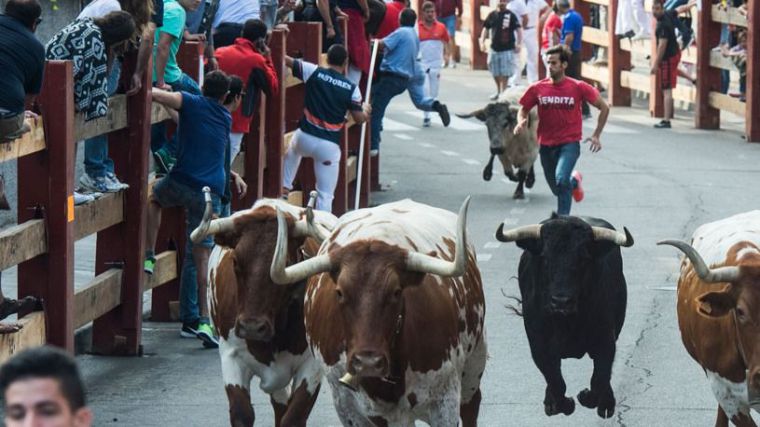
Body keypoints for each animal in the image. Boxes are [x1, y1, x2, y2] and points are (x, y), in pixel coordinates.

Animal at [194, 198, 336, 427]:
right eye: (235, 261)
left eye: (288, 262)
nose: (252, 327)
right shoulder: (230, 356)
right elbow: (242, 413)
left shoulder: (311, 366)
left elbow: (293, 417)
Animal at [272, 199, 486, 426]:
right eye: (339, 292)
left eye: (397, 291)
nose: (368, 363)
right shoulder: (348, 406)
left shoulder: (445, 402)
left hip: (475, 362)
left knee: (471, 405)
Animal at [496, 216, 632, 420]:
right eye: (545, 257)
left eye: (584, 259)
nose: (561, 302)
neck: (567, 323)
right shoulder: (539, 345)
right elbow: (555, 379)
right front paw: (562, 404)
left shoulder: (605, 339)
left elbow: (600, 377)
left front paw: (592, 399)